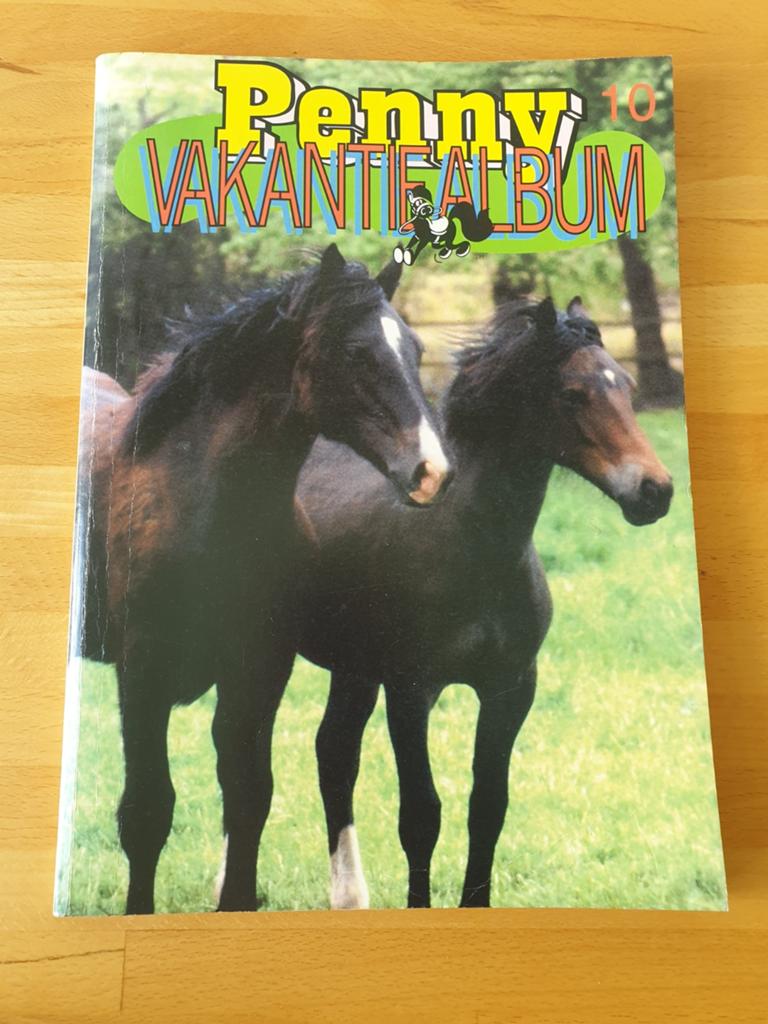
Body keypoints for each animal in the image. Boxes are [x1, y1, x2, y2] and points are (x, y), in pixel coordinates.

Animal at [78, 243, 453, 914]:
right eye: (355, 352)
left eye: (413, 349)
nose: (431, 470)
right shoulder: (141, 674)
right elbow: (146, 811)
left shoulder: (259, 670)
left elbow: (249, 796)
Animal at [295, 295, 674, 909]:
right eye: (572, 394)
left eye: (626, 385)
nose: (654, 491)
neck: (473, 550)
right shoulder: (410, 692)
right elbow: (420, 815)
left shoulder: (511, 688)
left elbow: (488, 810)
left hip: (353, 669)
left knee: (334, 752)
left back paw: (348, 898)